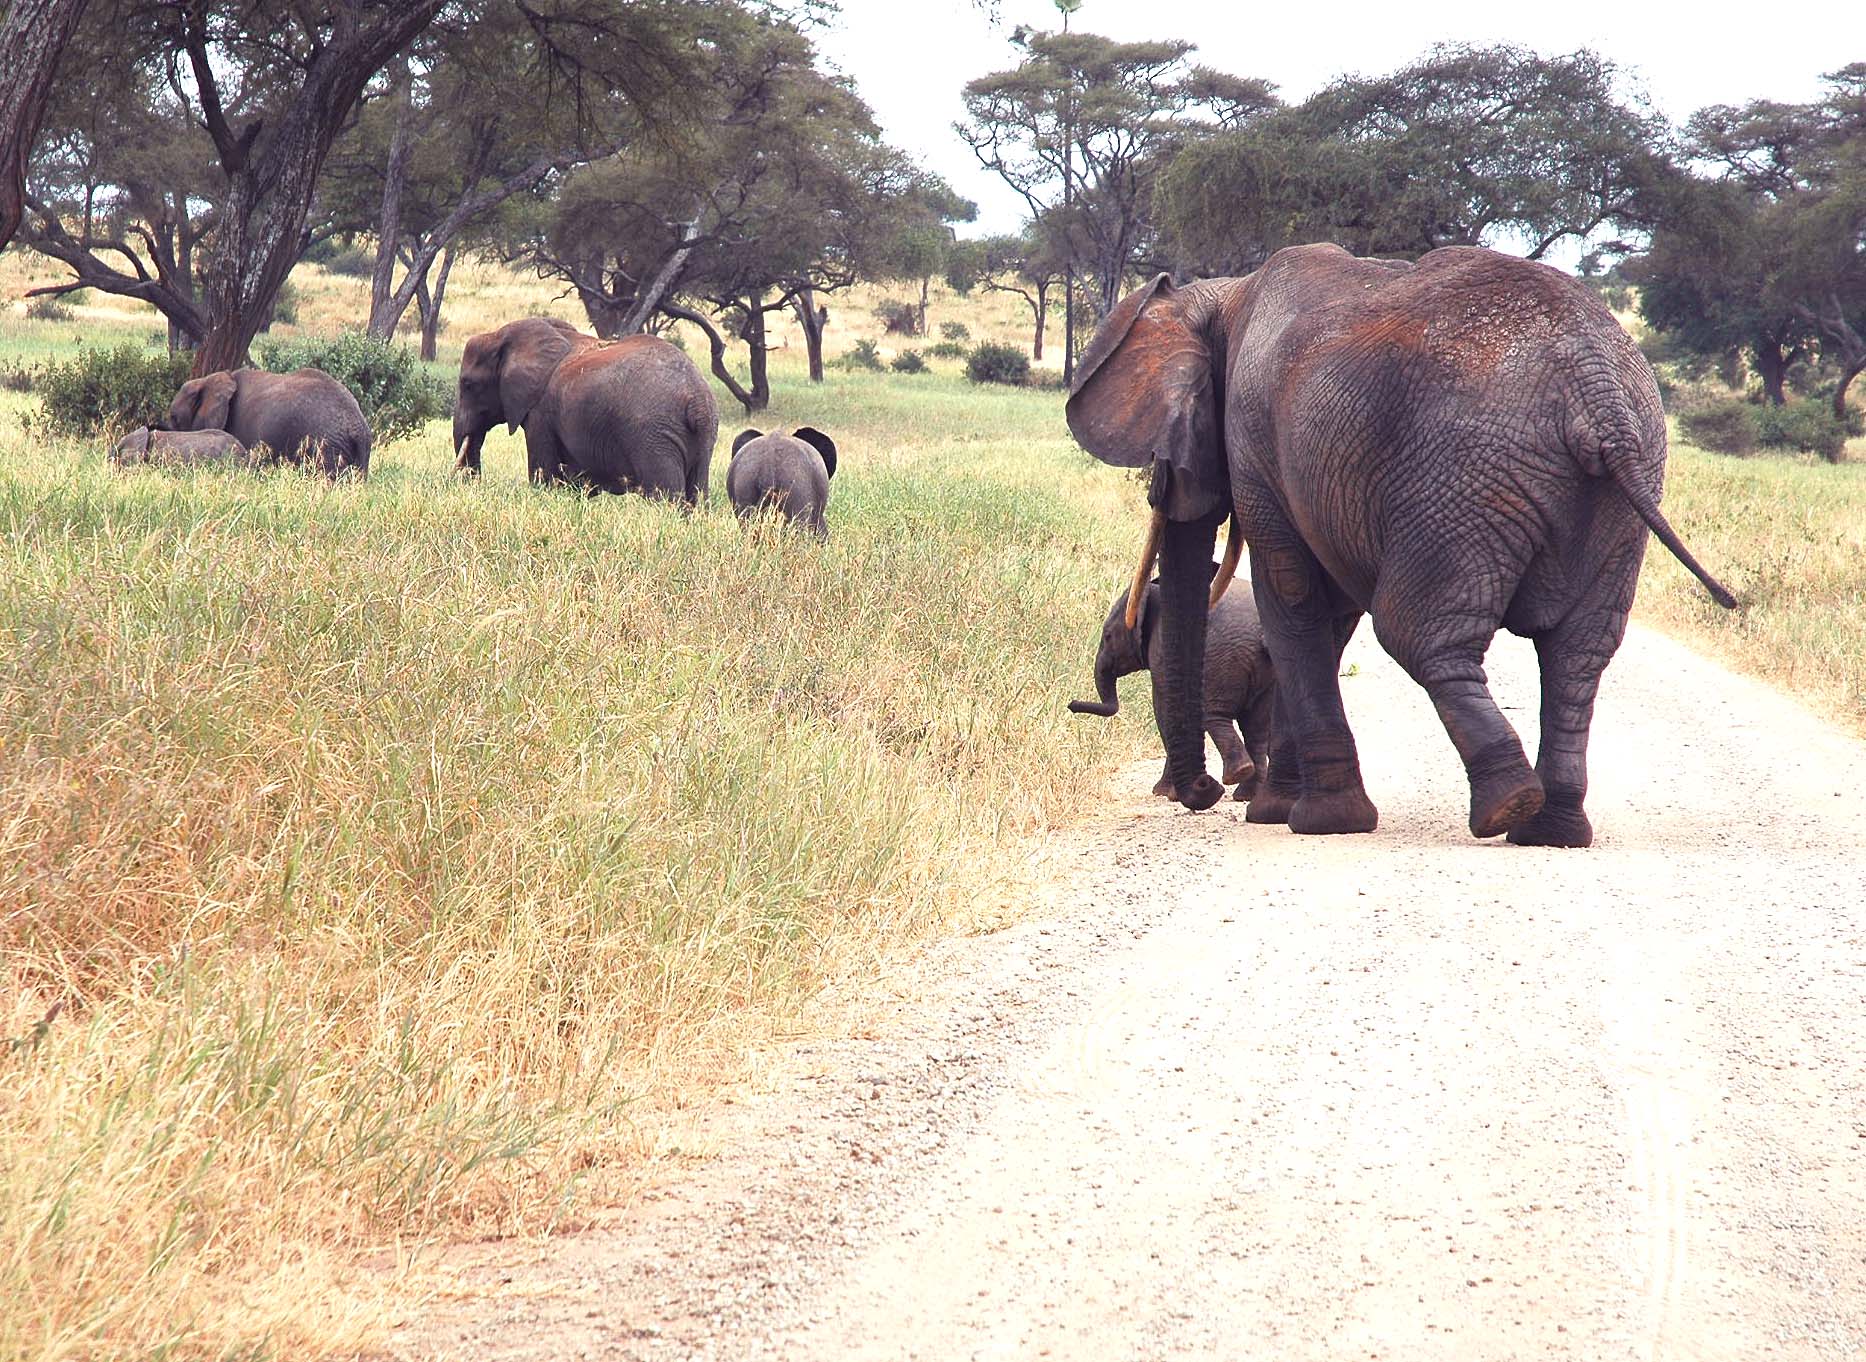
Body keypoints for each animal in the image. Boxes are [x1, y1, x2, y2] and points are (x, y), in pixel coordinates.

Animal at [452, 317, 718, 504]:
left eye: (468, 384)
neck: (500, 335)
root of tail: (697, 400)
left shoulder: (540, 412)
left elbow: (543, 473)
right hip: (702, 438)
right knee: (697, 495)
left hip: (653, 436)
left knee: (665, 497)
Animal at [1069, 581, 1275, 803]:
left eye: (1107, 636)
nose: (1071, 705)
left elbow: (1164, 712)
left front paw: (1163, 792)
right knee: (1255, 728)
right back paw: (1246, 794)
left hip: (1222, 661)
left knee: (1215, 716)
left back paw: (1235, 775)